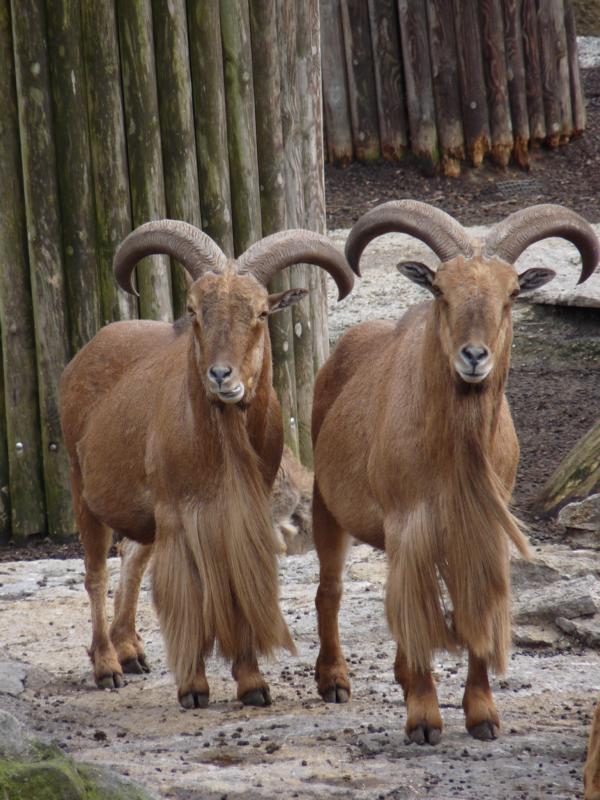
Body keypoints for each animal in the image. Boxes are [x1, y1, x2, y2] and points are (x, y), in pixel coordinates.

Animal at [59, 220, 353, 708]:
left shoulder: (241, 515)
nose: (221, 376)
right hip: (82, 487)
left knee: (132, 556)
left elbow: (232, 591)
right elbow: (189, 596)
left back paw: (131, 650)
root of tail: (87, 352)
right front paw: (194, 688)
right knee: (96, 572)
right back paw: (107, 665)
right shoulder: (179, 516)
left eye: (261, 313)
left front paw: (253, 684)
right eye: (194, 310)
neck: (218, 450)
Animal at [311, 200, 599, 743]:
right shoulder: (412, 525)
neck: (453, 453)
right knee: (331, 591)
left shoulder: (481, 529)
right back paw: (334, 681)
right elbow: (419, 613)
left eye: (511, 294)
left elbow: (472, 613)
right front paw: (424, 719)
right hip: (327, 508)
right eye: (440, 290)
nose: (474, 357)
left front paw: (483, 715)